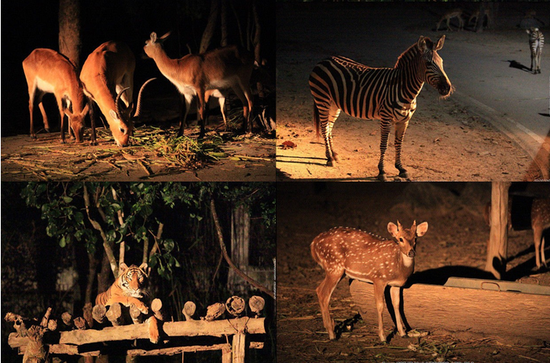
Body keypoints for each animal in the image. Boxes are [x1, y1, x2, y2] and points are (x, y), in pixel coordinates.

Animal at [308, 35, 454, 181]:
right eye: (428, 63)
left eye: (441, 62)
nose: (447, 88)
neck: (404, 89)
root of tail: (324, 60)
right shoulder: (386, 118)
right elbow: (384, 145)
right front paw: (382, 171)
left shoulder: (404, 120)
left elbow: (398, 144)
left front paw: (400, 168)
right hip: (322, 99)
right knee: (324, 128)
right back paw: (329, 159)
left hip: (334, 104)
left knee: (328, 127)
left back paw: (333, 155)